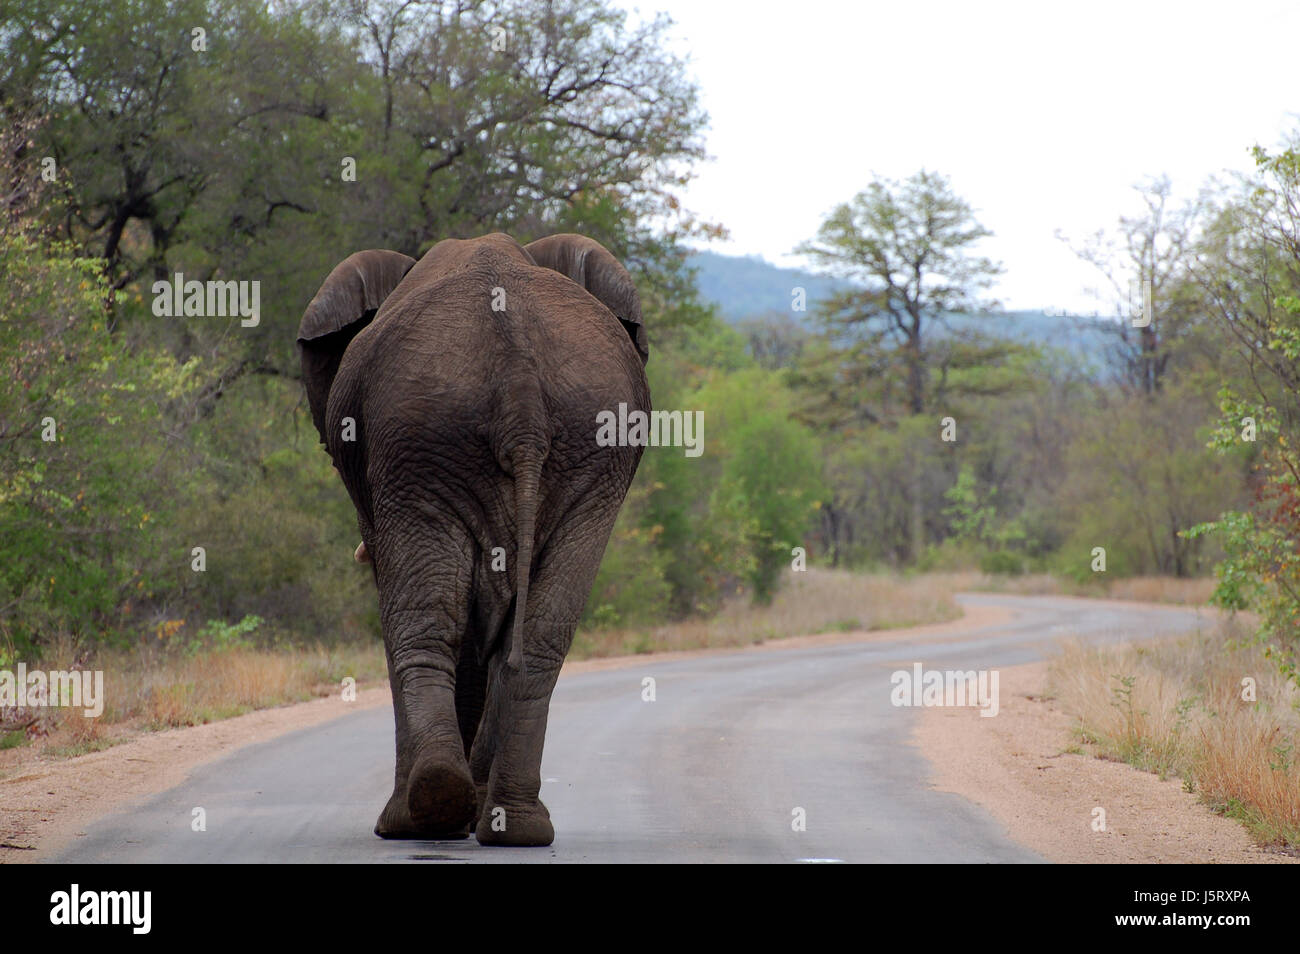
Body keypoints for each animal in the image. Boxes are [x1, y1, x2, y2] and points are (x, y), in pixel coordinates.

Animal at [296, 235, 650, 847]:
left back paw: (416, 816)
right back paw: (513, 826)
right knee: (539, 636)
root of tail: (520, 384)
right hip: (585, 452)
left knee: (422, 621)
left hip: (416, 448)